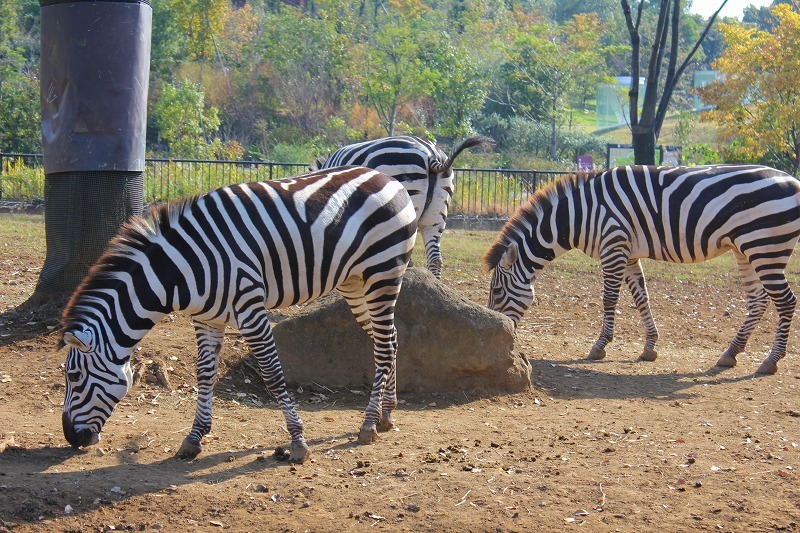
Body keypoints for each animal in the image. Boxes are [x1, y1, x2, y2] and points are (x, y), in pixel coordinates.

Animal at [59, 166, 418, 462]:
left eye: (74, 376)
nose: (71, 438)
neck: (180, 270)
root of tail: (385, 177)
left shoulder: (250, 309)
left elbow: (272, 374)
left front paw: (297, 442)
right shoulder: (206, 318)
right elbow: (204, 374)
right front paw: (194, 438)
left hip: (382, 274)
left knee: (384, 346)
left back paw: (368, 424)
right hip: (354, 283)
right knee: (389, 340)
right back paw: (387, 413)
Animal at [482, 165, 800, 374]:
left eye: (497, 291)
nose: (503, 335)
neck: (578, 215)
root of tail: (793, 180)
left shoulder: (613, 244)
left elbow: (610, 298)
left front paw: (600, 346)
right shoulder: (629, 253)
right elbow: (641, 298)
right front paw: (649, 347)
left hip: (765, 246)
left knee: (786, 301)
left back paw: (771, 361)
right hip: (745, 249)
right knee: (758, 301)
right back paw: (730, 353)